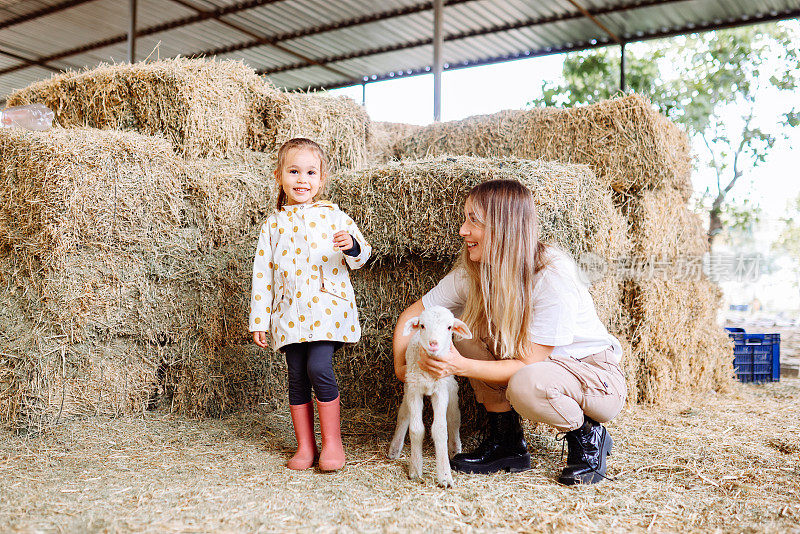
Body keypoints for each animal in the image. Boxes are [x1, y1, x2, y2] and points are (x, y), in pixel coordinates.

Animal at [386, 306, 468, 490]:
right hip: (408, 385)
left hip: (451, 386)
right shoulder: (414, 389)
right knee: (404, 414)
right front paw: (415, 469)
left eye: (449, 327)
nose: (433, 344)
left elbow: (440, 429)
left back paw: (455, 448)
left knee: (454, 417)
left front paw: (445, 476)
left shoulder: (441, 390)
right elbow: (416, 429)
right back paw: (394, 448)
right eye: (422, 326)